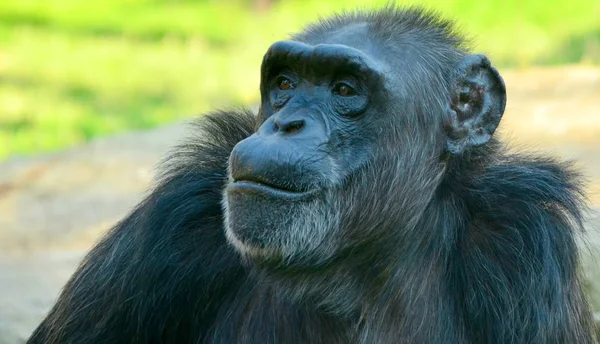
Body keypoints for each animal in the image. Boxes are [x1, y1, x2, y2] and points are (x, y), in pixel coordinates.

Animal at [27, 5, 596, 344]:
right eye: (284, 82)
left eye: (344, 90)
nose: (286, 123)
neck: (355, 265)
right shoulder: (171, 223)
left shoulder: (524, 243)